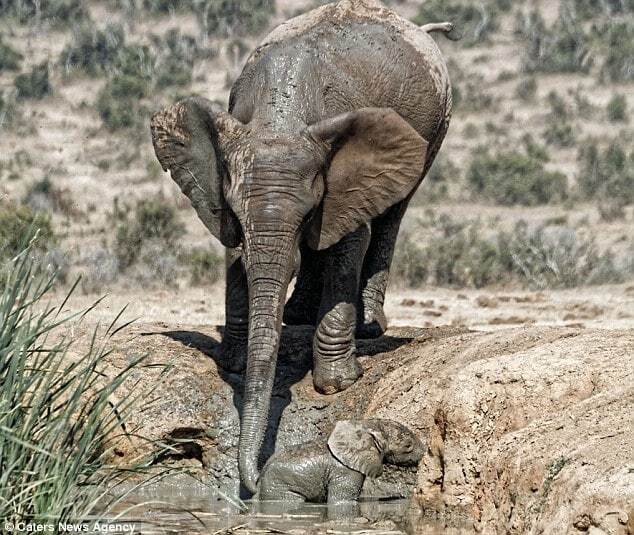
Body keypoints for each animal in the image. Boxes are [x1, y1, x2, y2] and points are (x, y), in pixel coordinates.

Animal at [151, 0, 452, 494]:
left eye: (310, 206)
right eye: (232, 205)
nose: (253, 484)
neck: (282, 117)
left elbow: (348, 242)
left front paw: (337, 384)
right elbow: (236, 251)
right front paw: (235, 362)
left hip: (435, 127)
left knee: (393, 215)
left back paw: (369, 326)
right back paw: (296, 315)